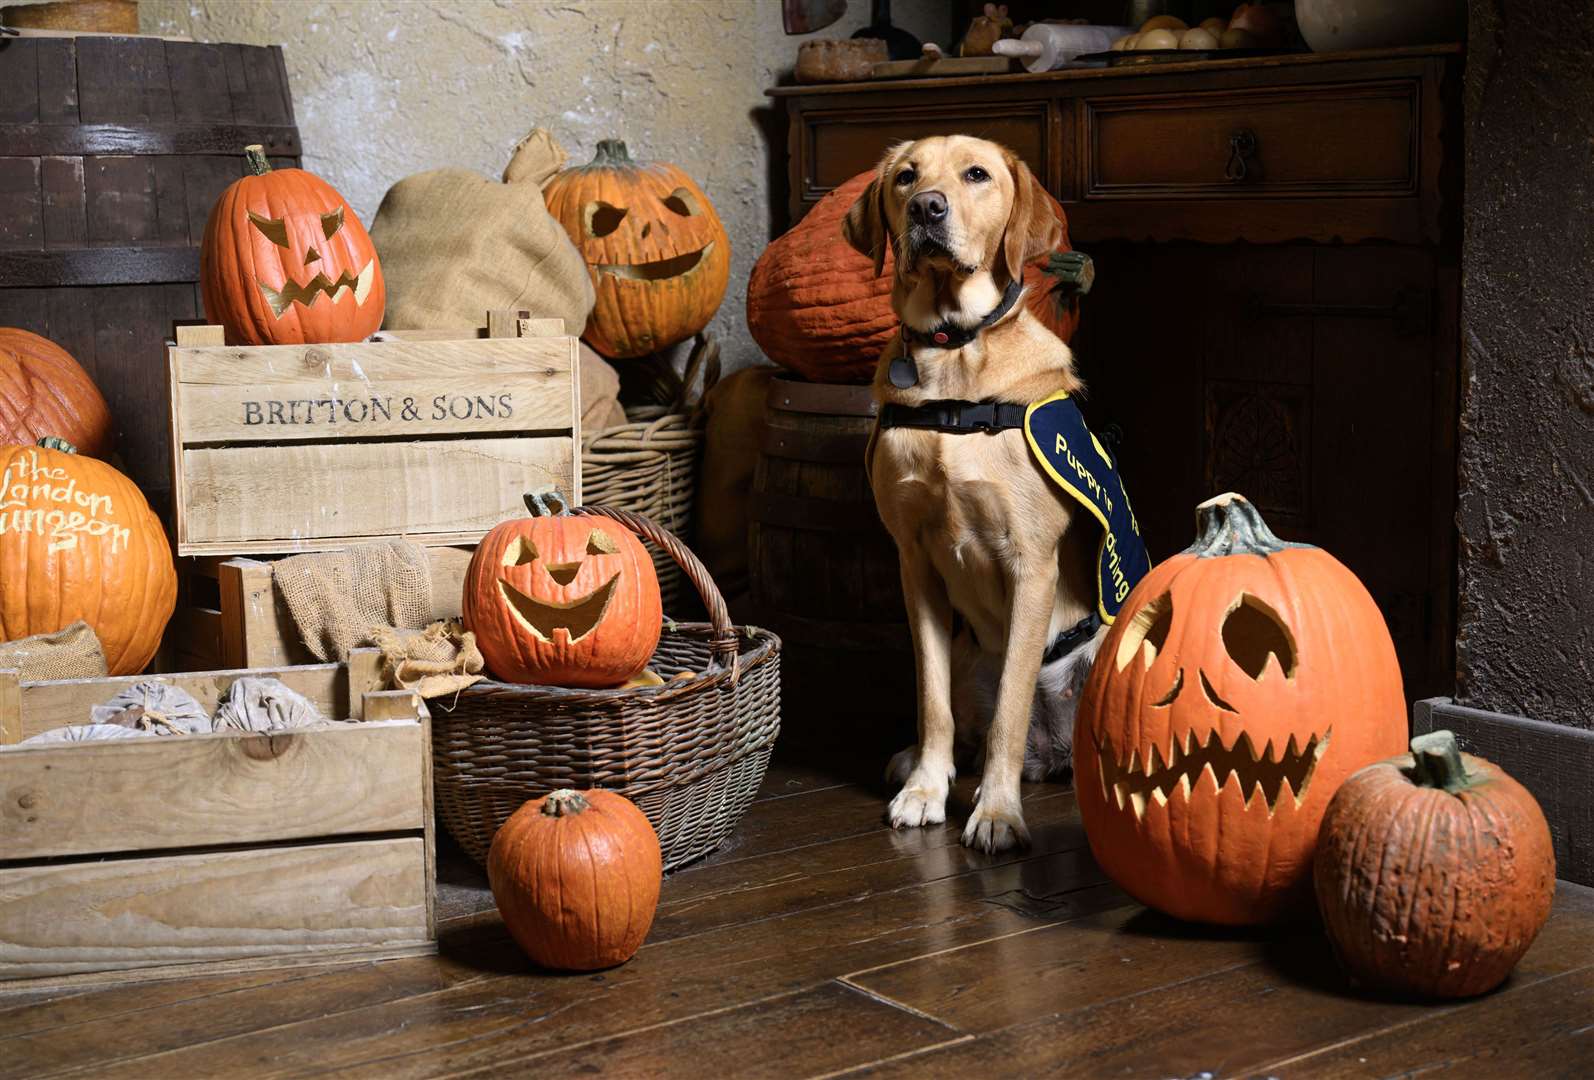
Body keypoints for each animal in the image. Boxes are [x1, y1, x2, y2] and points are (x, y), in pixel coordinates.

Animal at [848, 137, 1109, 853]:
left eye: (977, 175)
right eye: (906, 177)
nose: (926, 209)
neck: (953, 359)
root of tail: (1054, 755)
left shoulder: (1032, 563)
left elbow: (1009, 719)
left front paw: (996, 813)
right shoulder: (913, 562)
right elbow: (930, 699)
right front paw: (925, 790)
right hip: (970, 658)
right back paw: (915, 760)